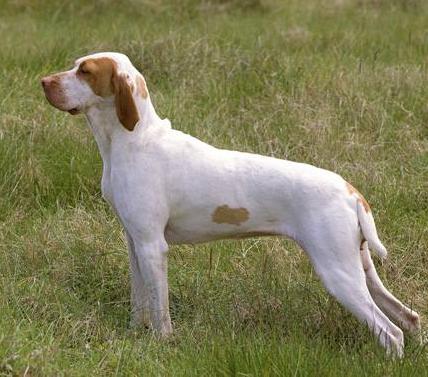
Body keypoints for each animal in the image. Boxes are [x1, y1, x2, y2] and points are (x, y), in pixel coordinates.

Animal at [41, 51, 422, 354]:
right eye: (75, 65)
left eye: (85, 71)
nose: (44, 81)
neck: (134, 140)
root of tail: (349, 190)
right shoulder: (135, 243)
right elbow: (140, 302)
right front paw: (135, 334)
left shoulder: (153, 246)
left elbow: (160, 310)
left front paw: (162, 344)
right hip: (361, 269)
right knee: (409, 318)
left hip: (338, 273)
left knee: (392, 332)